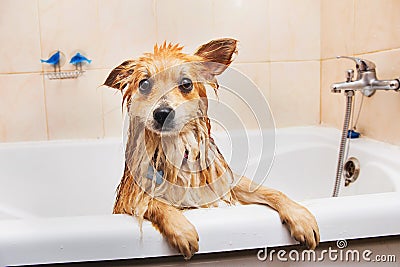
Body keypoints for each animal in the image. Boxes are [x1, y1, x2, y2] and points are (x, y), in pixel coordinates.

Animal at [103, 37, 318, 260]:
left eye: (186, 84)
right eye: (144, 84)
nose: (162, 113)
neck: (176, 148)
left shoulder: (224, 182)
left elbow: (270, 191)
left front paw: (300, 215)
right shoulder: (130, 200)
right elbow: (156, 203)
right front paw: (181, 229)